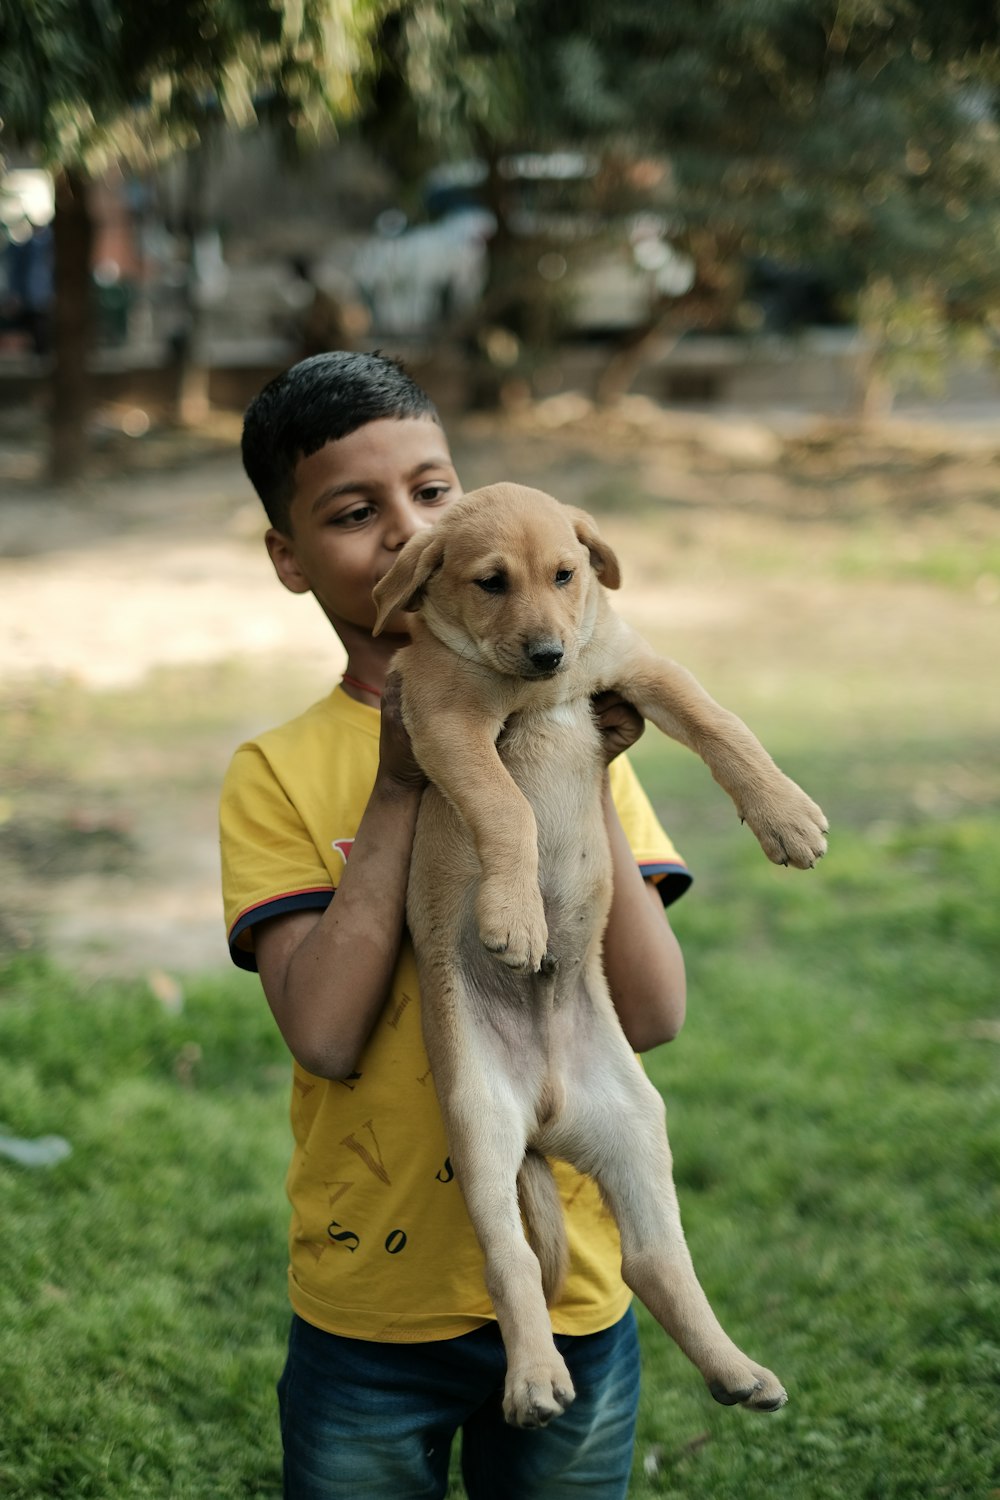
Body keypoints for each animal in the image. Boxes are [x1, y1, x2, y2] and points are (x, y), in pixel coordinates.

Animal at [371, 483, 827, 1428]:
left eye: (565, 574)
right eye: (490, 582)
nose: (548, 654)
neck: (534, 688)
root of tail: (546, 1107)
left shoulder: (641, 666)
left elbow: (724, 725)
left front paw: (786, 816)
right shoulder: (448, 725)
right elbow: (506, 806)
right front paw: (516, 918)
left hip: (635, 1124)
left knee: (653, 1259)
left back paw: (736, 1371)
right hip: (478, 1122)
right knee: (510, 1262)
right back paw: (536, 1380)